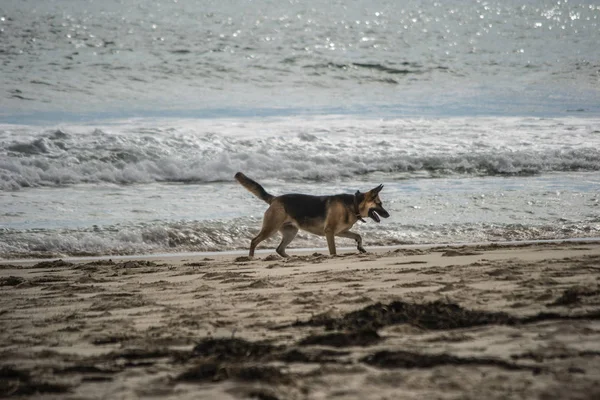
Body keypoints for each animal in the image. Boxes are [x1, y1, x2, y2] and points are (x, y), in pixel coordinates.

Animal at [234, 173, 390, 258]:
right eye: (380, 204)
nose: (388, 215)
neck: (353, 204)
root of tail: (275, 199)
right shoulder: (330, 232)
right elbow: (333, 250)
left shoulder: (340, 232)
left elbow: (358, 236)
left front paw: (361, 248)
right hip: (271, 229)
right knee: (254, 241)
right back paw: (251, 258)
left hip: (291, 232)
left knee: (279, 249)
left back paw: (290, 258)